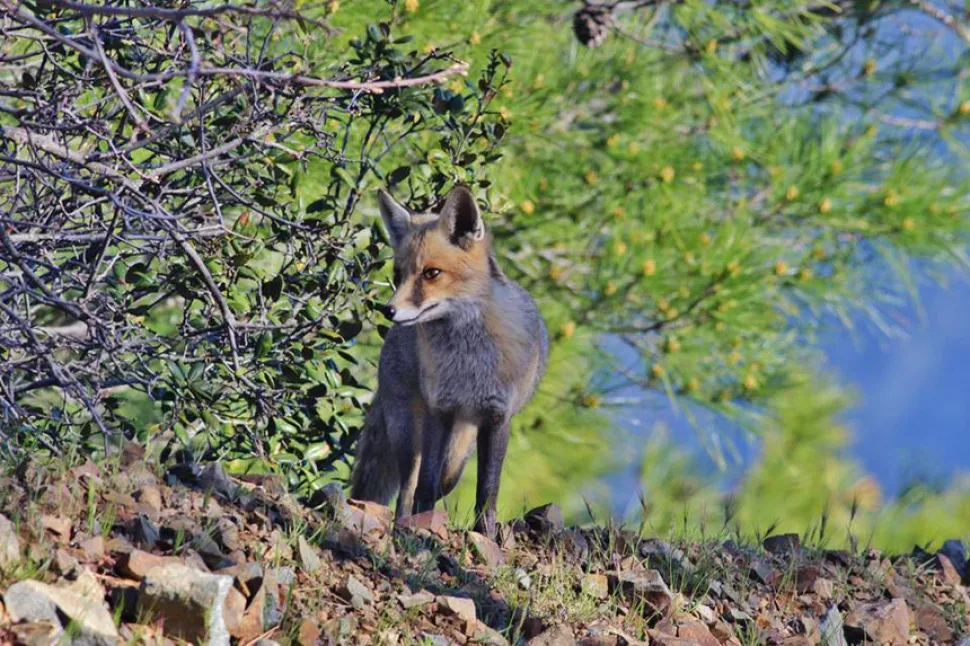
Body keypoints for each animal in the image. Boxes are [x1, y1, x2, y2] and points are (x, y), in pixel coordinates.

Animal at [349, 186, 548, 538]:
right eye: (398, 275)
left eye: (431, 273)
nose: (388, 310)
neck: (467, 363)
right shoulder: (438, 411)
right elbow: (424, 487)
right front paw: (422, 526)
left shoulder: (497, 417)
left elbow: (488, 491)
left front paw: (485, 532)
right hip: (407, 432)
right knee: (409, 485)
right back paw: (402, 523)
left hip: (460, 448)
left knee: (445, 479)